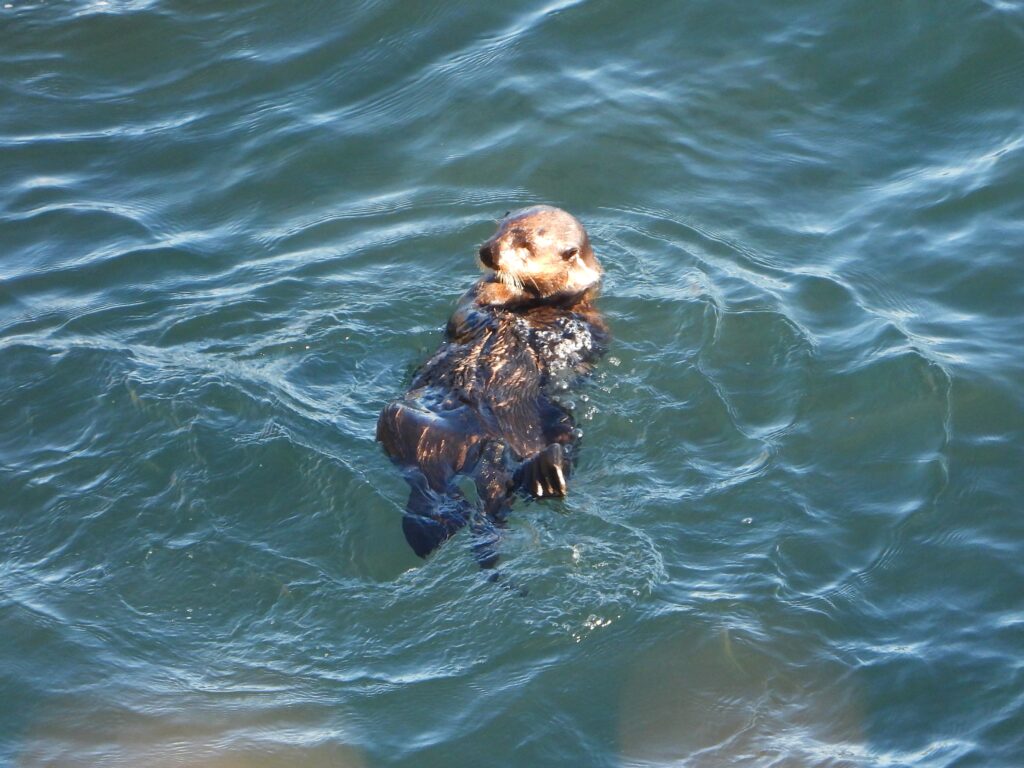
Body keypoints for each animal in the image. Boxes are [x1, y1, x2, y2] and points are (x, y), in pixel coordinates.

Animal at [376, 205, 608, 569]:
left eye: (525, 244)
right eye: (499, 228)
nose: (488, 251)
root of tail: (491, 447)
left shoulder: (591, 318)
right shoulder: (471, 298)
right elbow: (466, 314)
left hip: (558, 422)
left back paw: (547, 474)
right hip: (407, 419)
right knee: (435, 486)